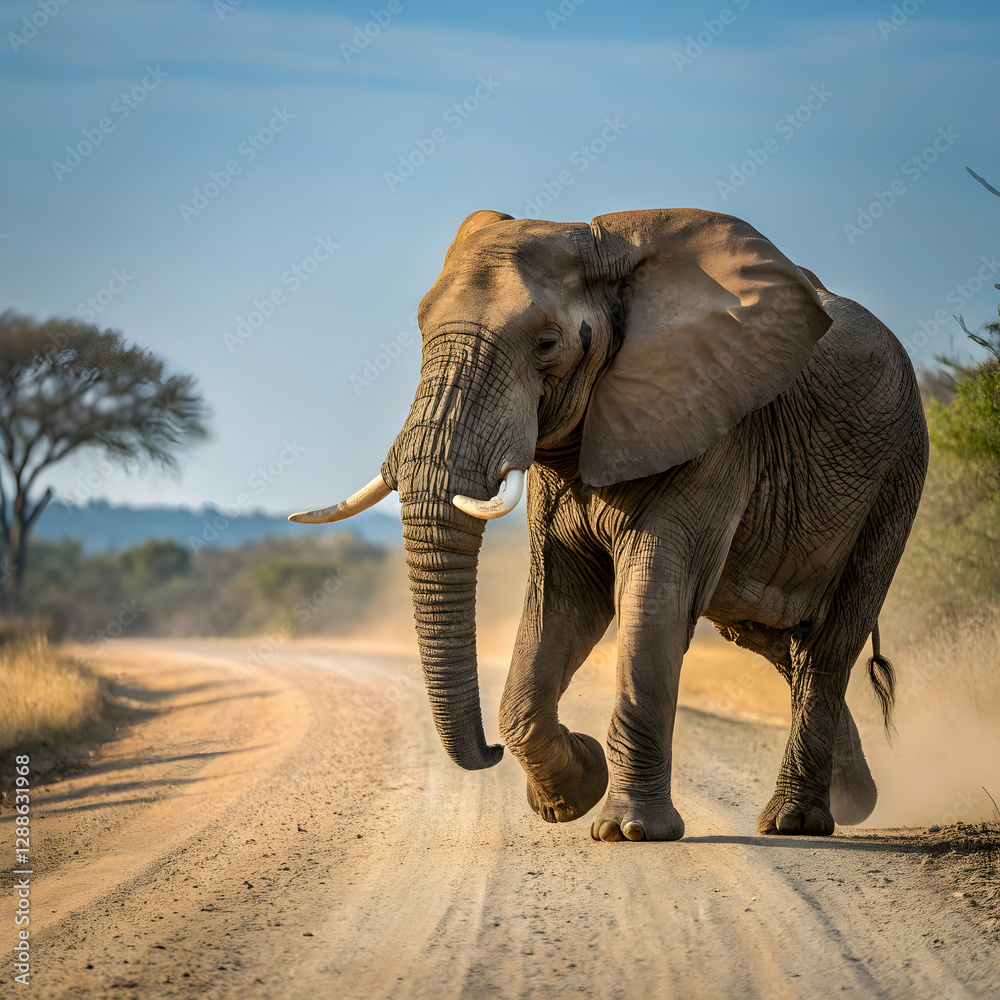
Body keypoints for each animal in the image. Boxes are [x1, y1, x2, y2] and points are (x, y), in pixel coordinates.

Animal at [290, 208, 928, 842]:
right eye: (421, 332)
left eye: (547, 343)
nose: (488, 752)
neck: (602, 249)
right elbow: (563, 597)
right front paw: (572, 792)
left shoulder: (712, 424)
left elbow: (655, 597)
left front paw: (629, 830)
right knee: (773, 638)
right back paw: (854, 800)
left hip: (897, 477)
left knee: (829, 643)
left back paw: (796, 820)